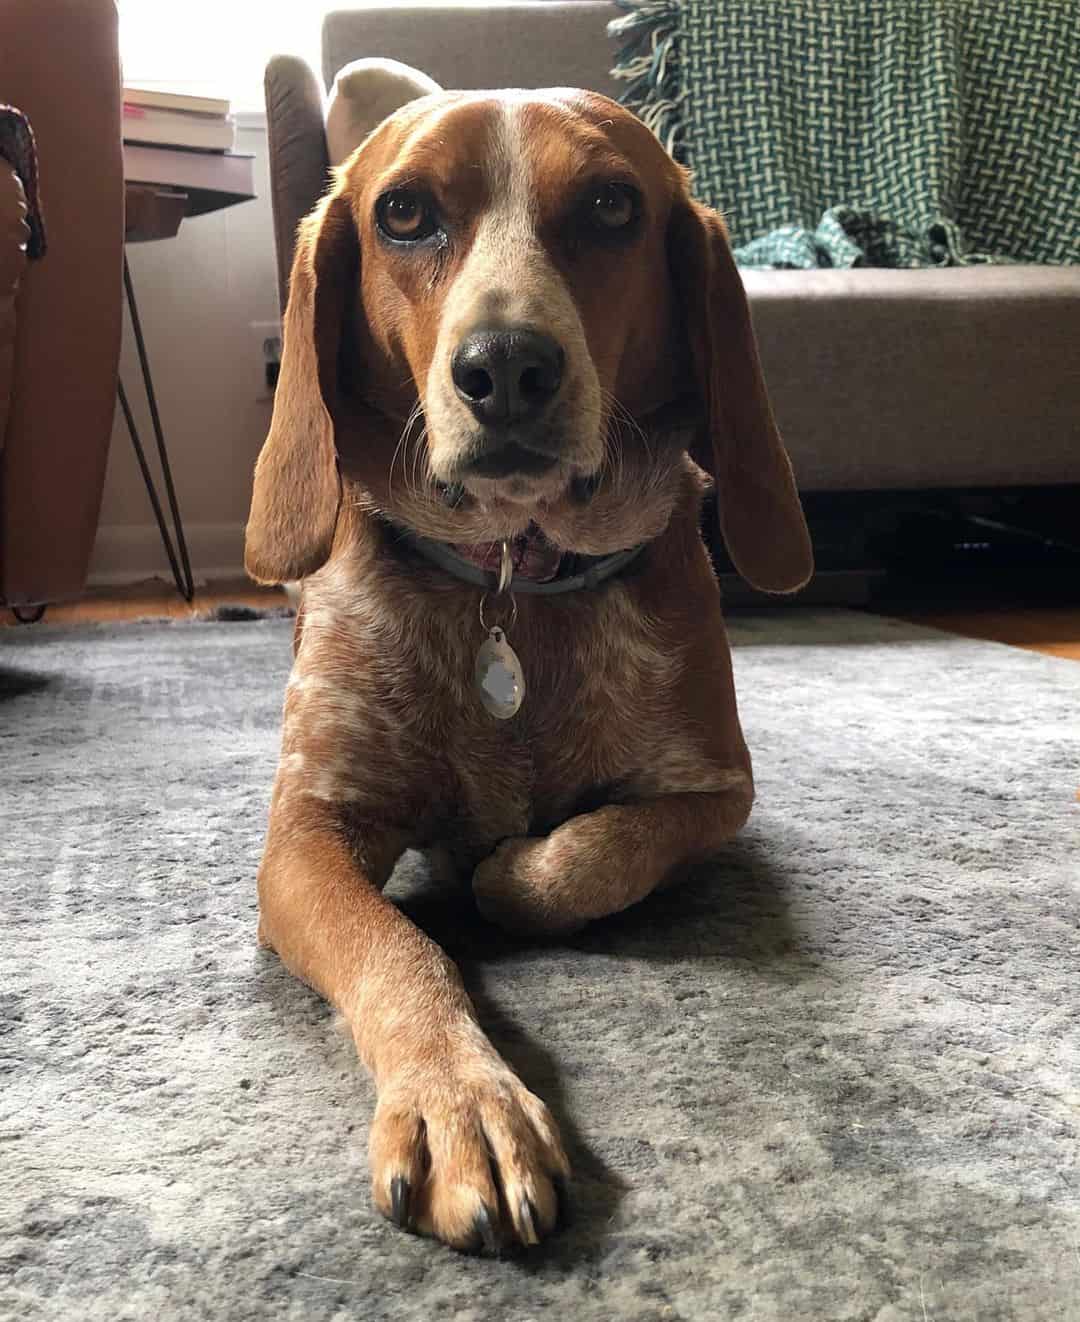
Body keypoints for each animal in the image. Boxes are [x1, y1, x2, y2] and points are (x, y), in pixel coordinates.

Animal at [240, 85, 803, 1247]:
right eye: (405, 212)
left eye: (612, 205)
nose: (505, 367)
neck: (512, 578)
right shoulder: (305, 835)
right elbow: (398, 949)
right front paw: (462, 1100)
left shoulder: (716, 792)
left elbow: (582, 860)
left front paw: (506, 868)